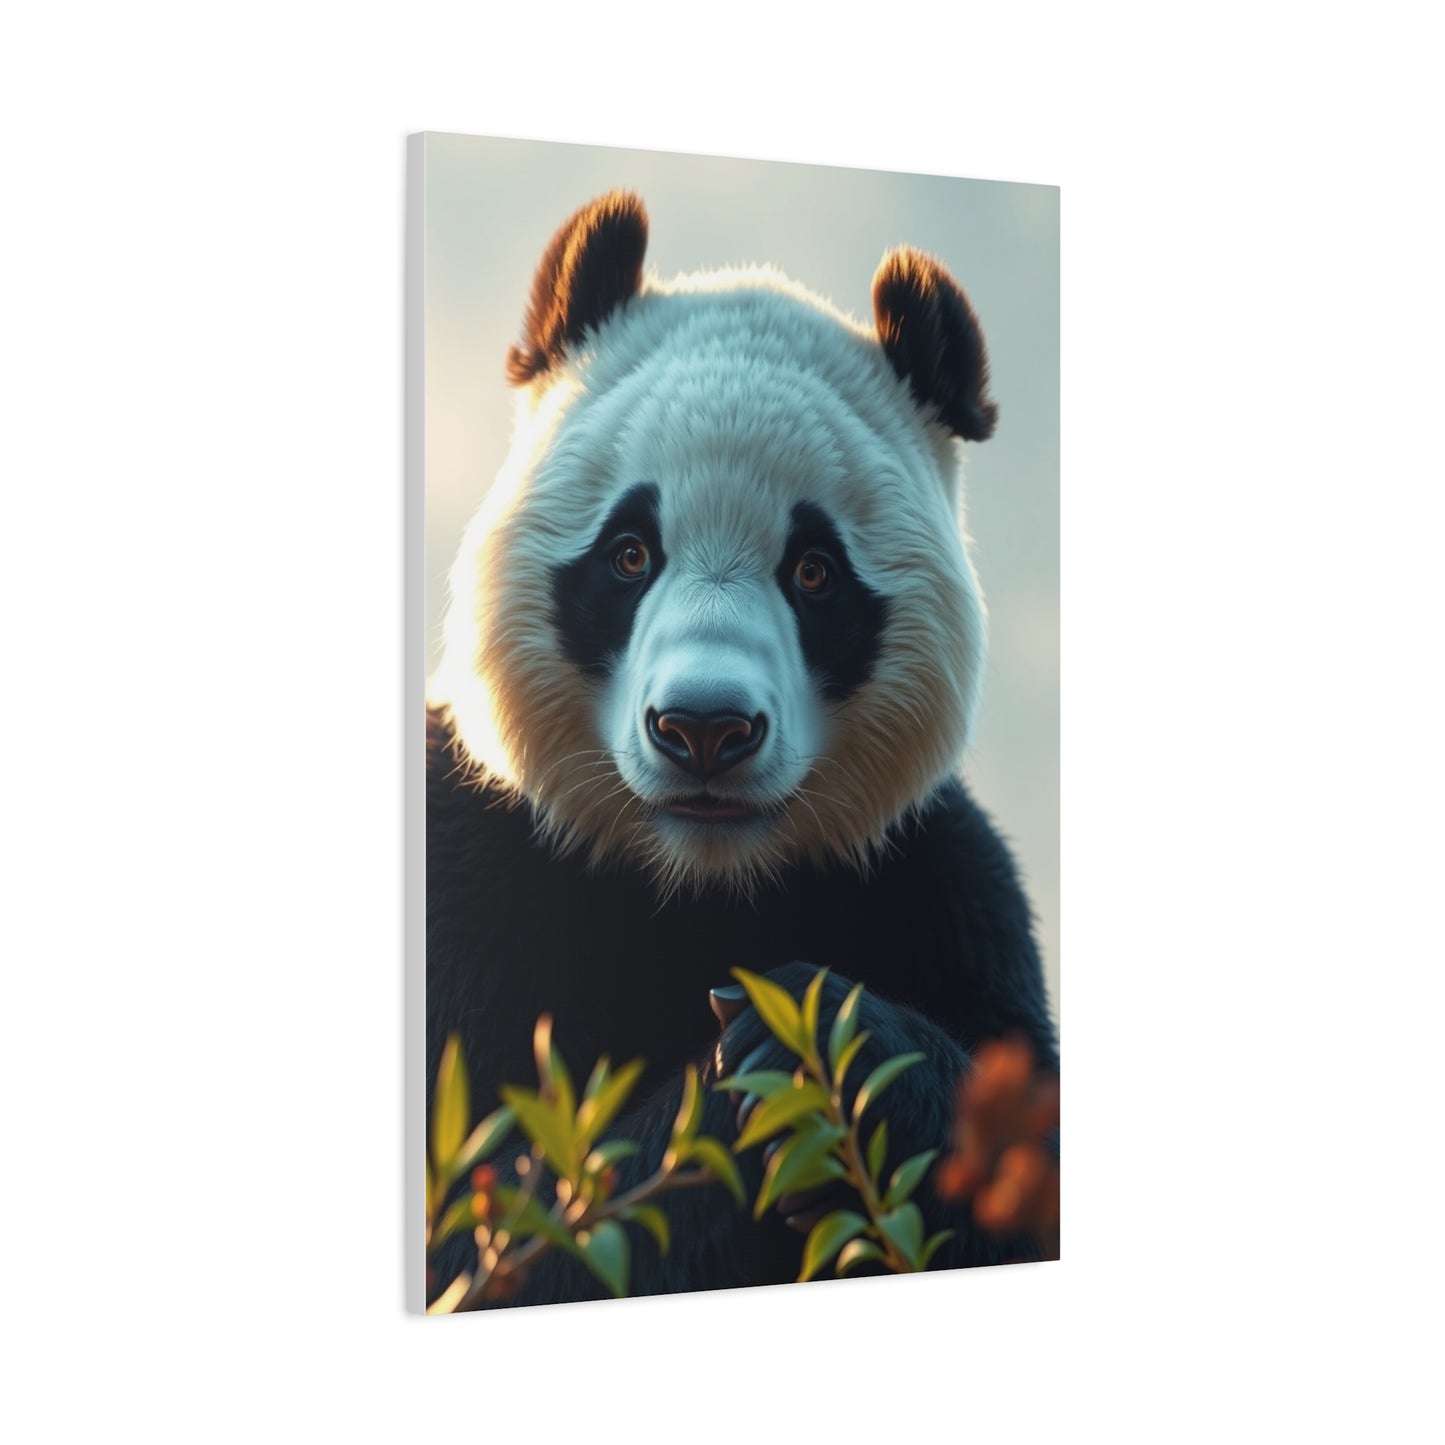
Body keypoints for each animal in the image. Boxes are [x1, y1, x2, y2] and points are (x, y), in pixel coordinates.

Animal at [427, 191, 1057, 1304]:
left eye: (812, 571)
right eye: (629, 553)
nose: (704, 729)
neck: (699, 883)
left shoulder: (939, 885)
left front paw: (813, 1033)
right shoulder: (470, 870)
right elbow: (493, 1234)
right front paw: (752, 1074)